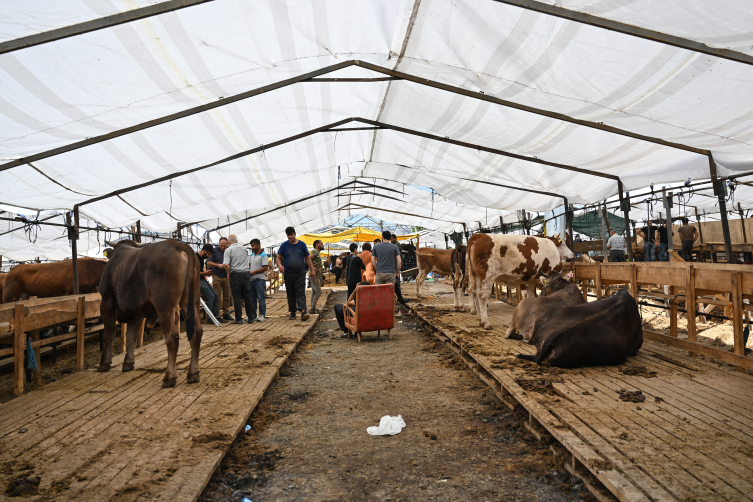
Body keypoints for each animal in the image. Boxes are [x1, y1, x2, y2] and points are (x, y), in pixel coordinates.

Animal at [97, 240, 204, 388]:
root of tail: (177, 244)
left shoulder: (107, 301)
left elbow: (109, 334)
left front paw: (104, 364)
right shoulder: (137, 309)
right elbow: (131, 335)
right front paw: (128, 363)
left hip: (164, 305)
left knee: (172, 337)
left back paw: (169, 377)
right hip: (191, 300)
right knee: (196, 332)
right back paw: (193, 374)